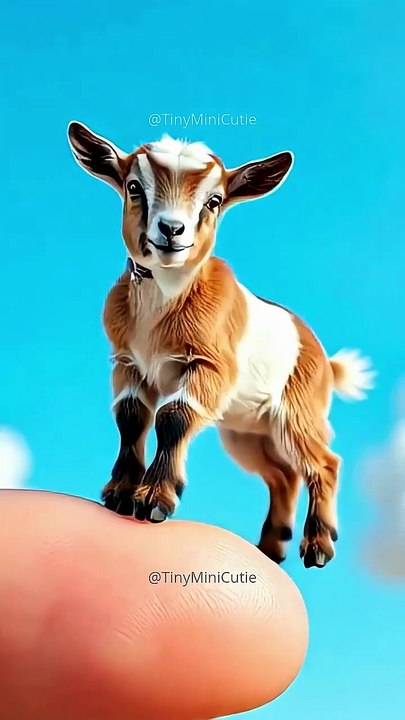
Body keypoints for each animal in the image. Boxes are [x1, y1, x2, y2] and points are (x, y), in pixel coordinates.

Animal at [67, 122, 375, 568]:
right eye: (133, 187)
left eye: (214, 200)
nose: (171, 230)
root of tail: (323, 359)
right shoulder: (128, 363)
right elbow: (131, 416)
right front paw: (120, 494)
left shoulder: (208, 366)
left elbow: (173, 417)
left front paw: (154, 500)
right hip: (247, 433)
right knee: (283, 475)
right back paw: (270, 549)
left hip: (297, 414)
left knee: (323, 463)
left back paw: (317, 546)